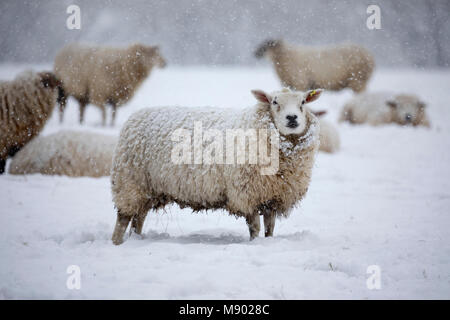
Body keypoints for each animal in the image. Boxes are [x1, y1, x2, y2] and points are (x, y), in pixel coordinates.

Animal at [111, 86, 326, 244]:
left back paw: (137, 239)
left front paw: (268, 242)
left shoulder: (272, 196)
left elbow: (270, 228)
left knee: (139, 218)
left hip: (148, 189)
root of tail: (134, 117)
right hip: (129, 181)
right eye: (274, 102)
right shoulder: (246, 193)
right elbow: (255, 227)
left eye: (303, 102)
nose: (292, 118)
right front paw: (255, 243)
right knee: (123, 218)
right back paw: (118, 242)